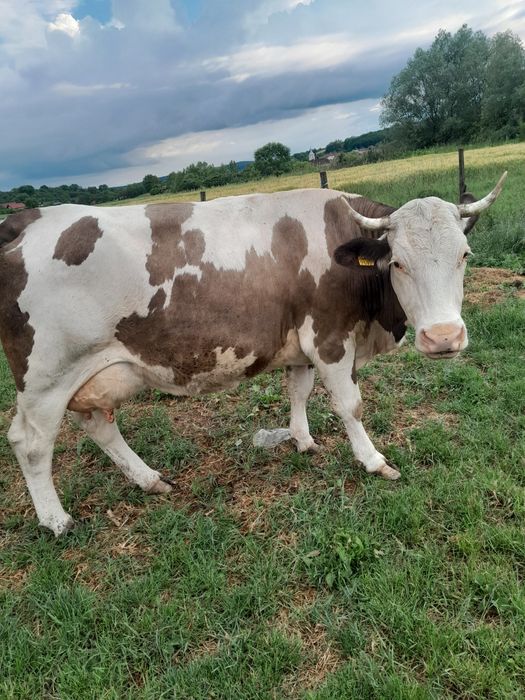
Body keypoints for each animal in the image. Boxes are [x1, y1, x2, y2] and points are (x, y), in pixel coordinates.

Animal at [0, 174, 506, 535]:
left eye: (464, 254)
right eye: (397, 262)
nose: (443, 337)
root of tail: (30, 220)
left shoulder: (300, 343)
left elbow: (299, 390)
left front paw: (302, 439)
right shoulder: (329, 337)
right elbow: (351, 406)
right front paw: (374, 460)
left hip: (89, 374)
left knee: (99, 426)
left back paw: (149, 479)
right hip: (44, 378)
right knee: (31, 443)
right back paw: (56, 520)